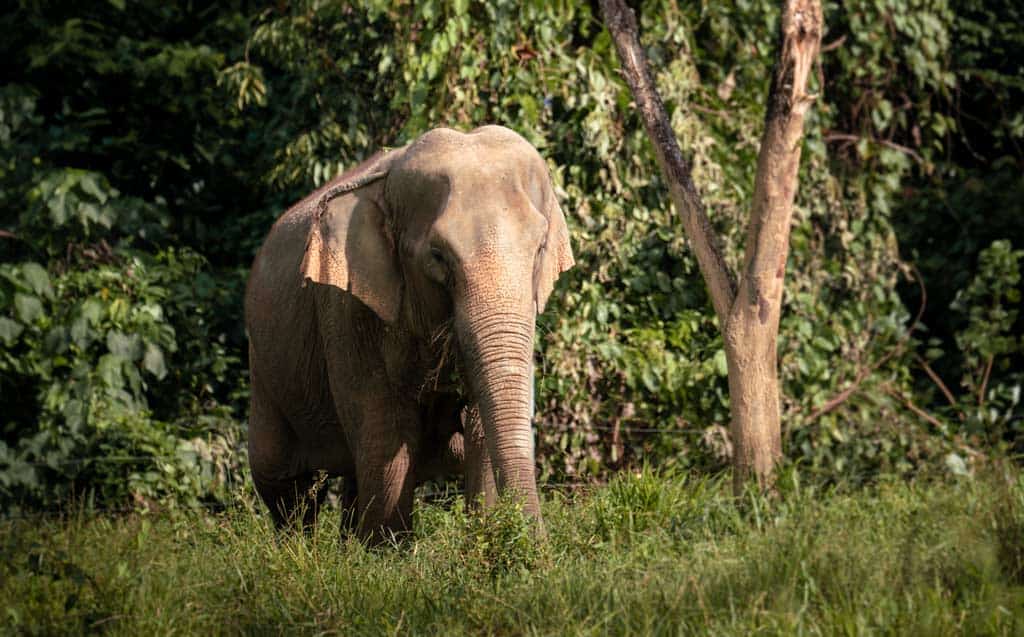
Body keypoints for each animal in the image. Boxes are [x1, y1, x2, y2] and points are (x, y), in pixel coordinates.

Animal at [243, 125, 573, 544]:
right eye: (438, 256)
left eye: (540, 249)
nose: (540, 551)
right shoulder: (346, 308)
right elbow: (386, 431)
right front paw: (387, 554)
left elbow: (481, 427)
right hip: (265, 366)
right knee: (284, 484)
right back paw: (300, 551)